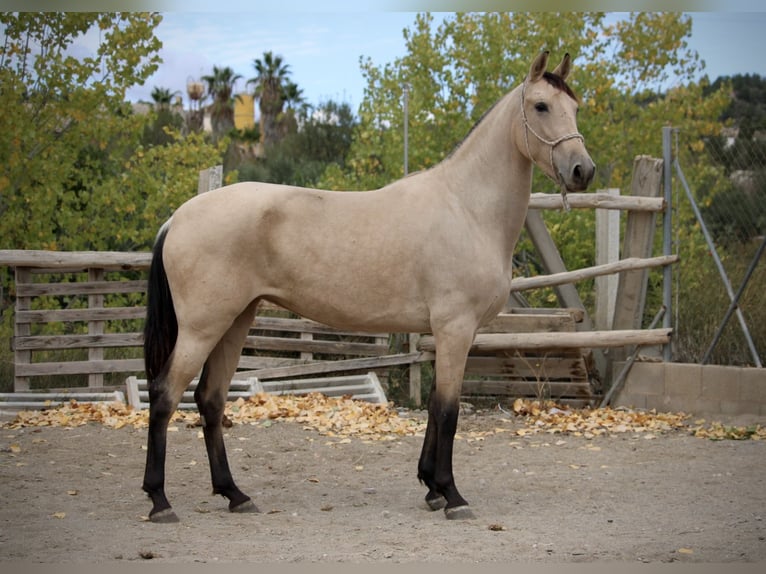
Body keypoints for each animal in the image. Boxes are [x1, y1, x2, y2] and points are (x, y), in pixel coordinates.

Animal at [142, 51, 600, 524]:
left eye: (575, 107)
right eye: (541, 106)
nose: (582, 170)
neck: (466, 208)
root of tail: (177, 218)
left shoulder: (446, 334)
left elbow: (434, 406)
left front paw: (431, 488)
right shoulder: (455, 330)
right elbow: (449, 410)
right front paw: (452, 495)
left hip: (235, 321)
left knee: (210, 400)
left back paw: (235, 494)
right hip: (203, 328)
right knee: (164, 395)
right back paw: (160, 501)